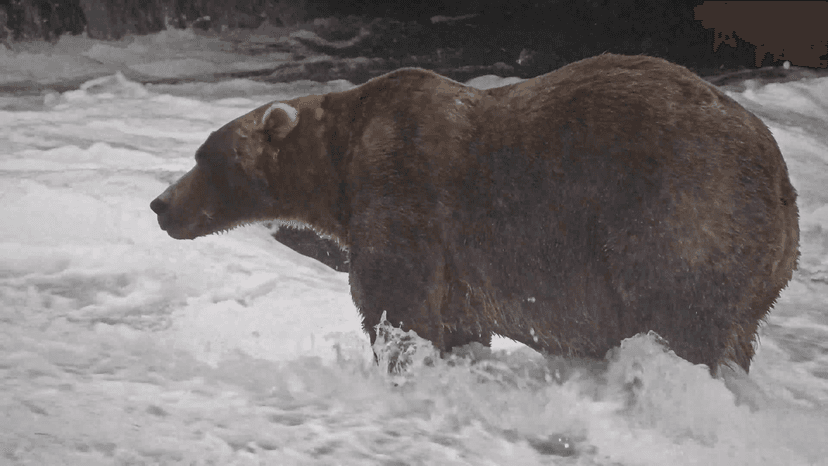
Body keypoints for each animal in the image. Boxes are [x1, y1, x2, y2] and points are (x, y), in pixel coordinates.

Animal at [150, 53, 799, 375]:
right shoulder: (461, 267)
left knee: (680, 317)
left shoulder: (403, 191)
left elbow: (396, 303)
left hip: (680, 213)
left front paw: (399, 362)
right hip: (758, 269)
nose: (160, 205)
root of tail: (781, 180)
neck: (339, 167)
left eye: (204, 156)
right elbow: (458, 323)